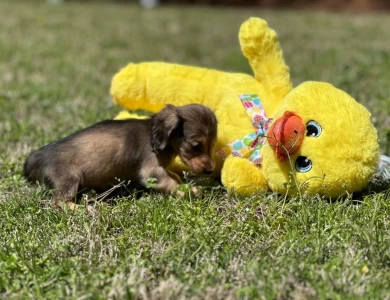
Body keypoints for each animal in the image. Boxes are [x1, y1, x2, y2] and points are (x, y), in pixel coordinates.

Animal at [24, 104, 218, 210]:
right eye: (196, 146)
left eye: (212, 144)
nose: (210, 170)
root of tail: (38, 155)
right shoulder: (151, 170)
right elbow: (170, 181)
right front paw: (187, 190)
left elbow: (174, 176)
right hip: (68, 181)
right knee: (58, 202)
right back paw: (81, 208)